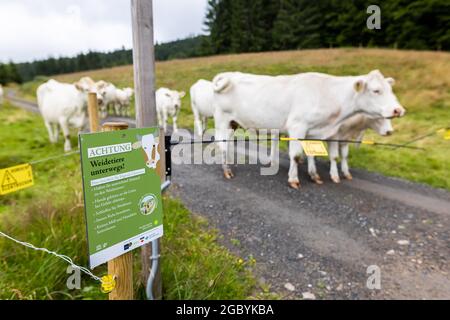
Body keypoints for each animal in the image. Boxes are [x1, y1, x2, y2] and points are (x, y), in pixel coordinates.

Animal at [213, 70, 406, 189]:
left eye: (391, 89)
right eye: (376, 90)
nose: (399, 110)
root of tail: (229, 74)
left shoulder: (315, 131)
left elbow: (313, 154)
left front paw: (315, 176)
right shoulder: (297, 126)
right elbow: (296, 155)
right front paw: (293, 180)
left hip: (232, 123)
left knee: (227, 144)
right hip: (222, 120)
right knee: (221, 144)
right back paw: (227, 171)